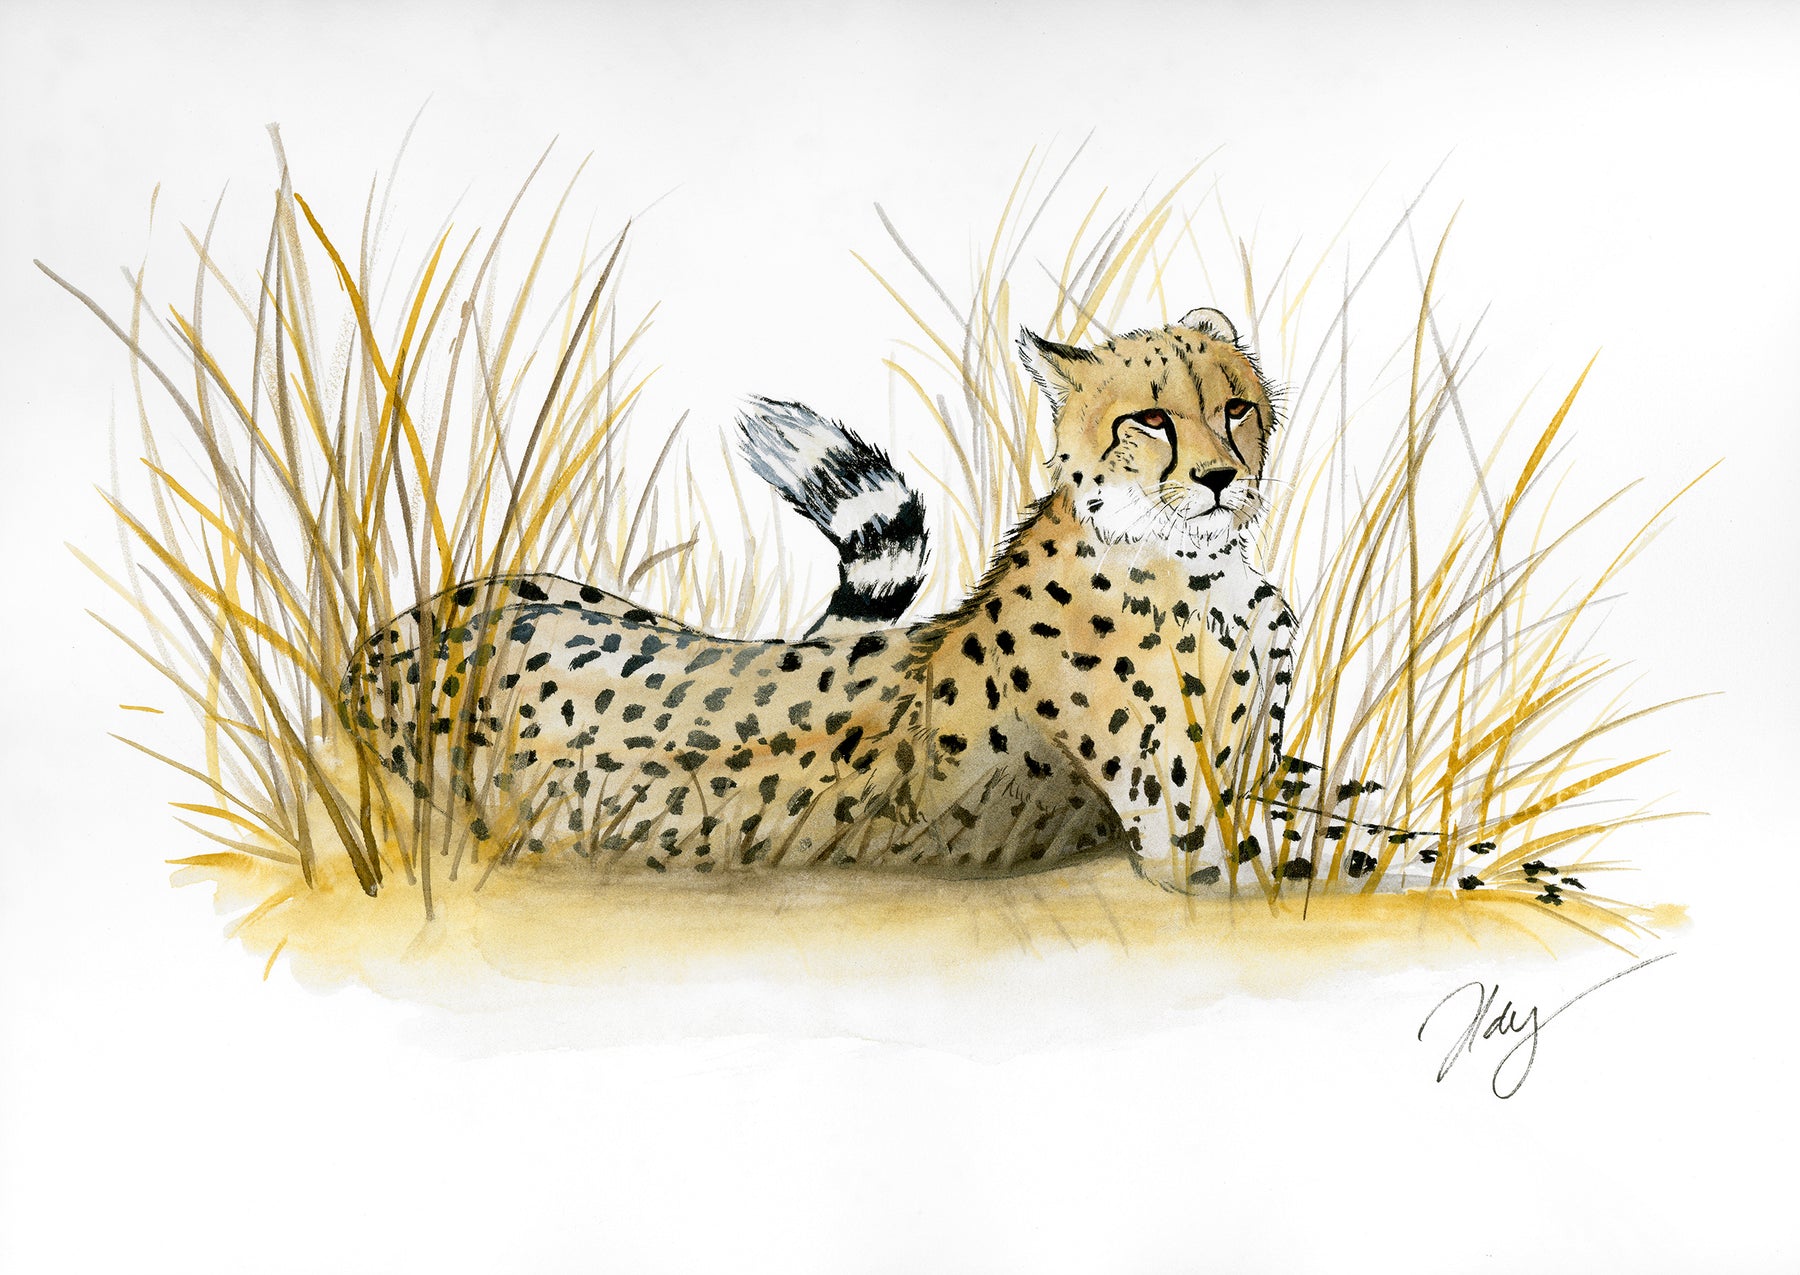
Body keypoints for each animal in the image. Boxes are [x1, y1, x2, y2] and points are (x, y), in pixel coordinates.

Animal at [338, 306, 1301, 893]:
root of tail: (376, 650)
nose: (1222, 478)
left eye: (1237, 408)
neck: (1194, 560)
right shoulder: (1184, 839)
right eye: (1151, 420)